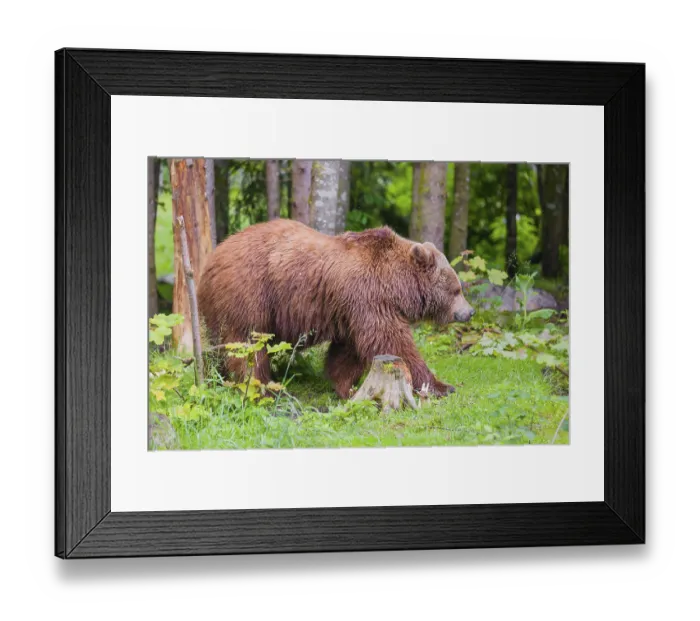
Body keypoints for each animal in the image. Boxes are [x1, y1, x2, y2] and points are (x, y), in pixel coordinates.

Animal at [197, 219, 475, 399]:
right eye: (456, 289)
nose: (469, 311)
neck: (396, 284)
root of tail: (211, 260)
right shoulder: (369, 298)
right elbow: (393, 343)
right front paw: (440, 386)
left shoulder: (353, 309)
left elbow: (348, 352)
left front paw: (346, 387)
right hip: (250, 291)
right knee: (247, 344)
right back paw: (261, 387)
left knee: (222, 345)